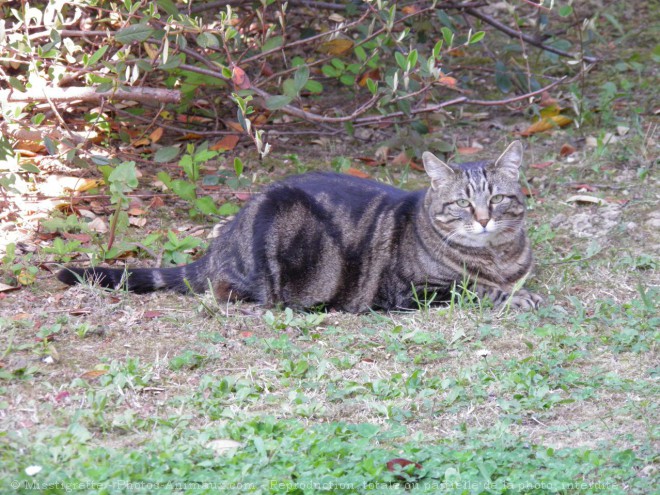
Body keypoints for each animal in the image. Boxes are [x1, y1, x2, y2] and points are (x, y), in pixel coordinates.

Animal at [56, 141, 540, 312]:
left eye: (497, 199)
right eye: (462, 204)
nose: (483, 219)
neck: (497, 257)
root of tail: (221, 243)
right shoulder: (411, 291)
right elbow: (474, 289)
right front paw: (514, 296)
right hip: (277, 219)